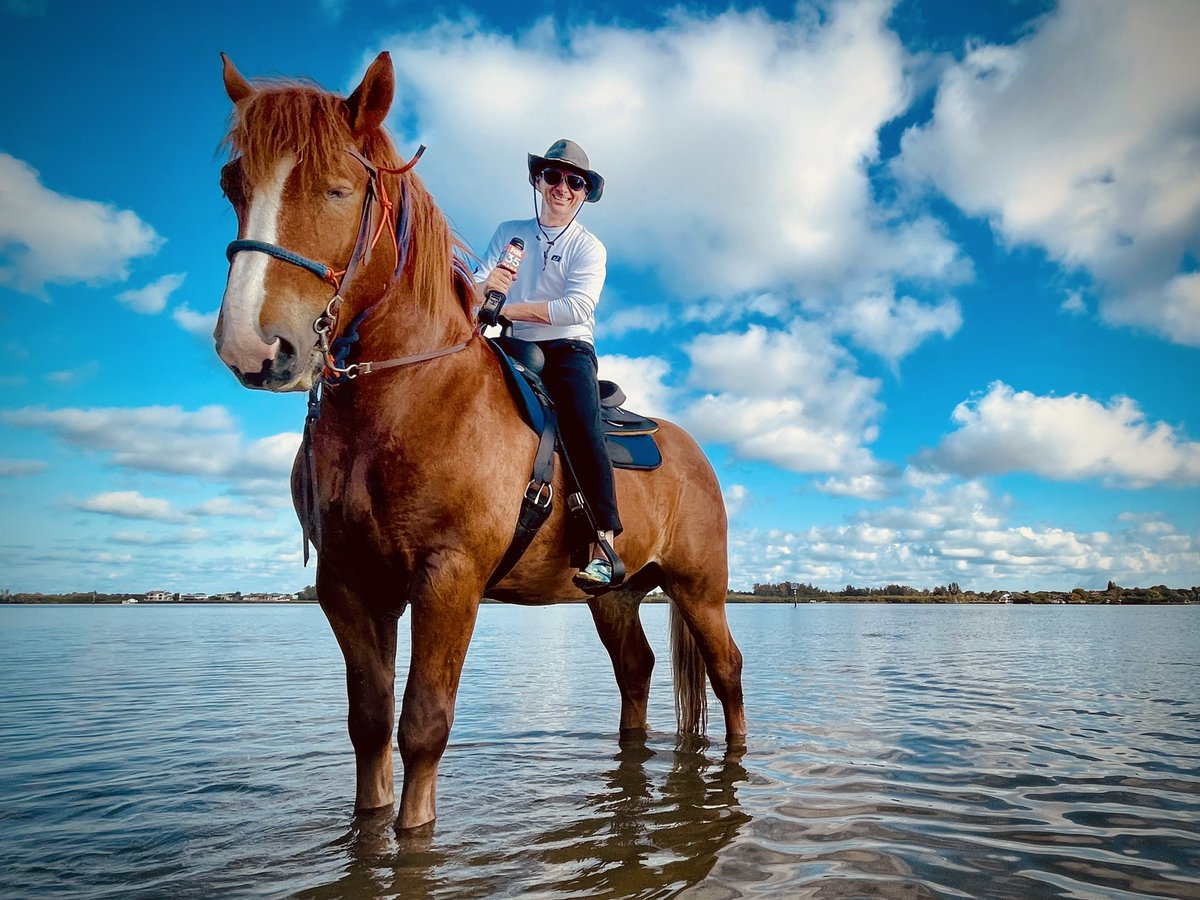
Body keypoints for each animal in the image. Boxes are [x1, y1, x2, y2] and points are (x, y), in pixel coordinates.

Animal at [213, 50, 745, 831]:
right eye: (233, 185)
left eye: (338, 187)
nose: (253, 346)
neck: (406, 398)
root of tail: (693, 453)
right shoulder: (347, 585)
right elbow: (369, 725)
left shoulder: (449, 578)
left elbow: (422, 726)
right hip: (613, 597)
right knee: (637, 672)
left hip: (700, 589)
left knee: (727, 671)